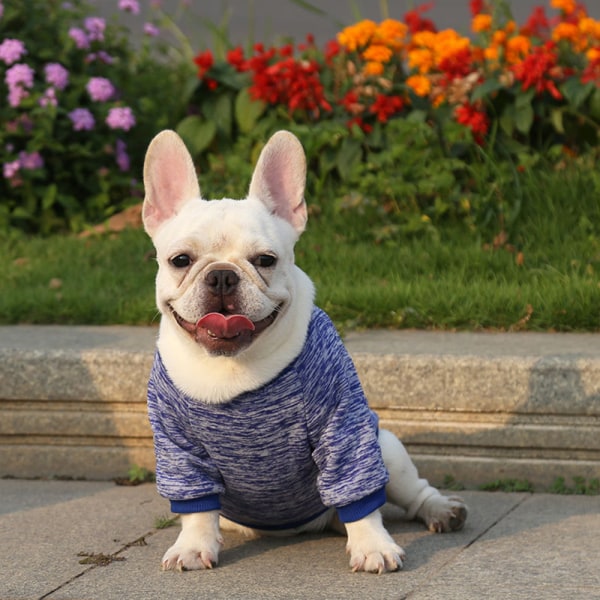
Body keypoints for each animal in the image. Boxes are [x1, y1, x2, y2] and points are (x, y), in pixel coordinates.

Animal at [142, 130, 468, 572]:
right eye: (180, 260)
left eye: (265, 260)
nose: (222, 276)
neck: (234, 366)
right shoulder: (177, 445)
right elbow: (196, 506)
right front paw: (193, 546)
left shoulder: (344, 426)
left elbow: (358, 494)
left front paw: (372, 546)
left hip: (386, 448)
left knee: (412, 491)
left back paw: (442, 511)